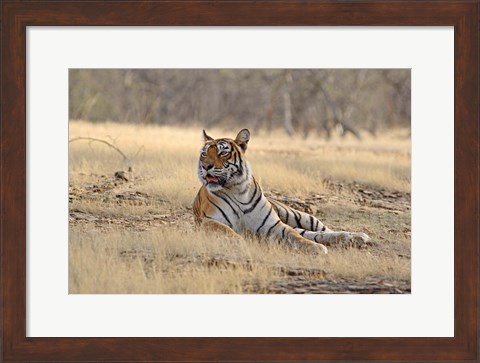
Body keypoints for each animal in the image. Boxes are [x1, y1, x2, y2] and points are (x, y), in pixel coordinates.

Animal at [192, 129, 372, 255]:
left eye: (223, 152)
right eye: (204, 153)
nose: (205, 166)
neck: (236, 190)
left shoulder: (273, 225)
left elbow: (294, 236)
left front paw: (316, 248)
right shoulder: (209, 222)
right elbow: (228, 232)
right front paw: (241, 243)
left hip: (299, 215)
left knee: (323, 230)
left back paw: (356, 237)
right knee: (312, 233)